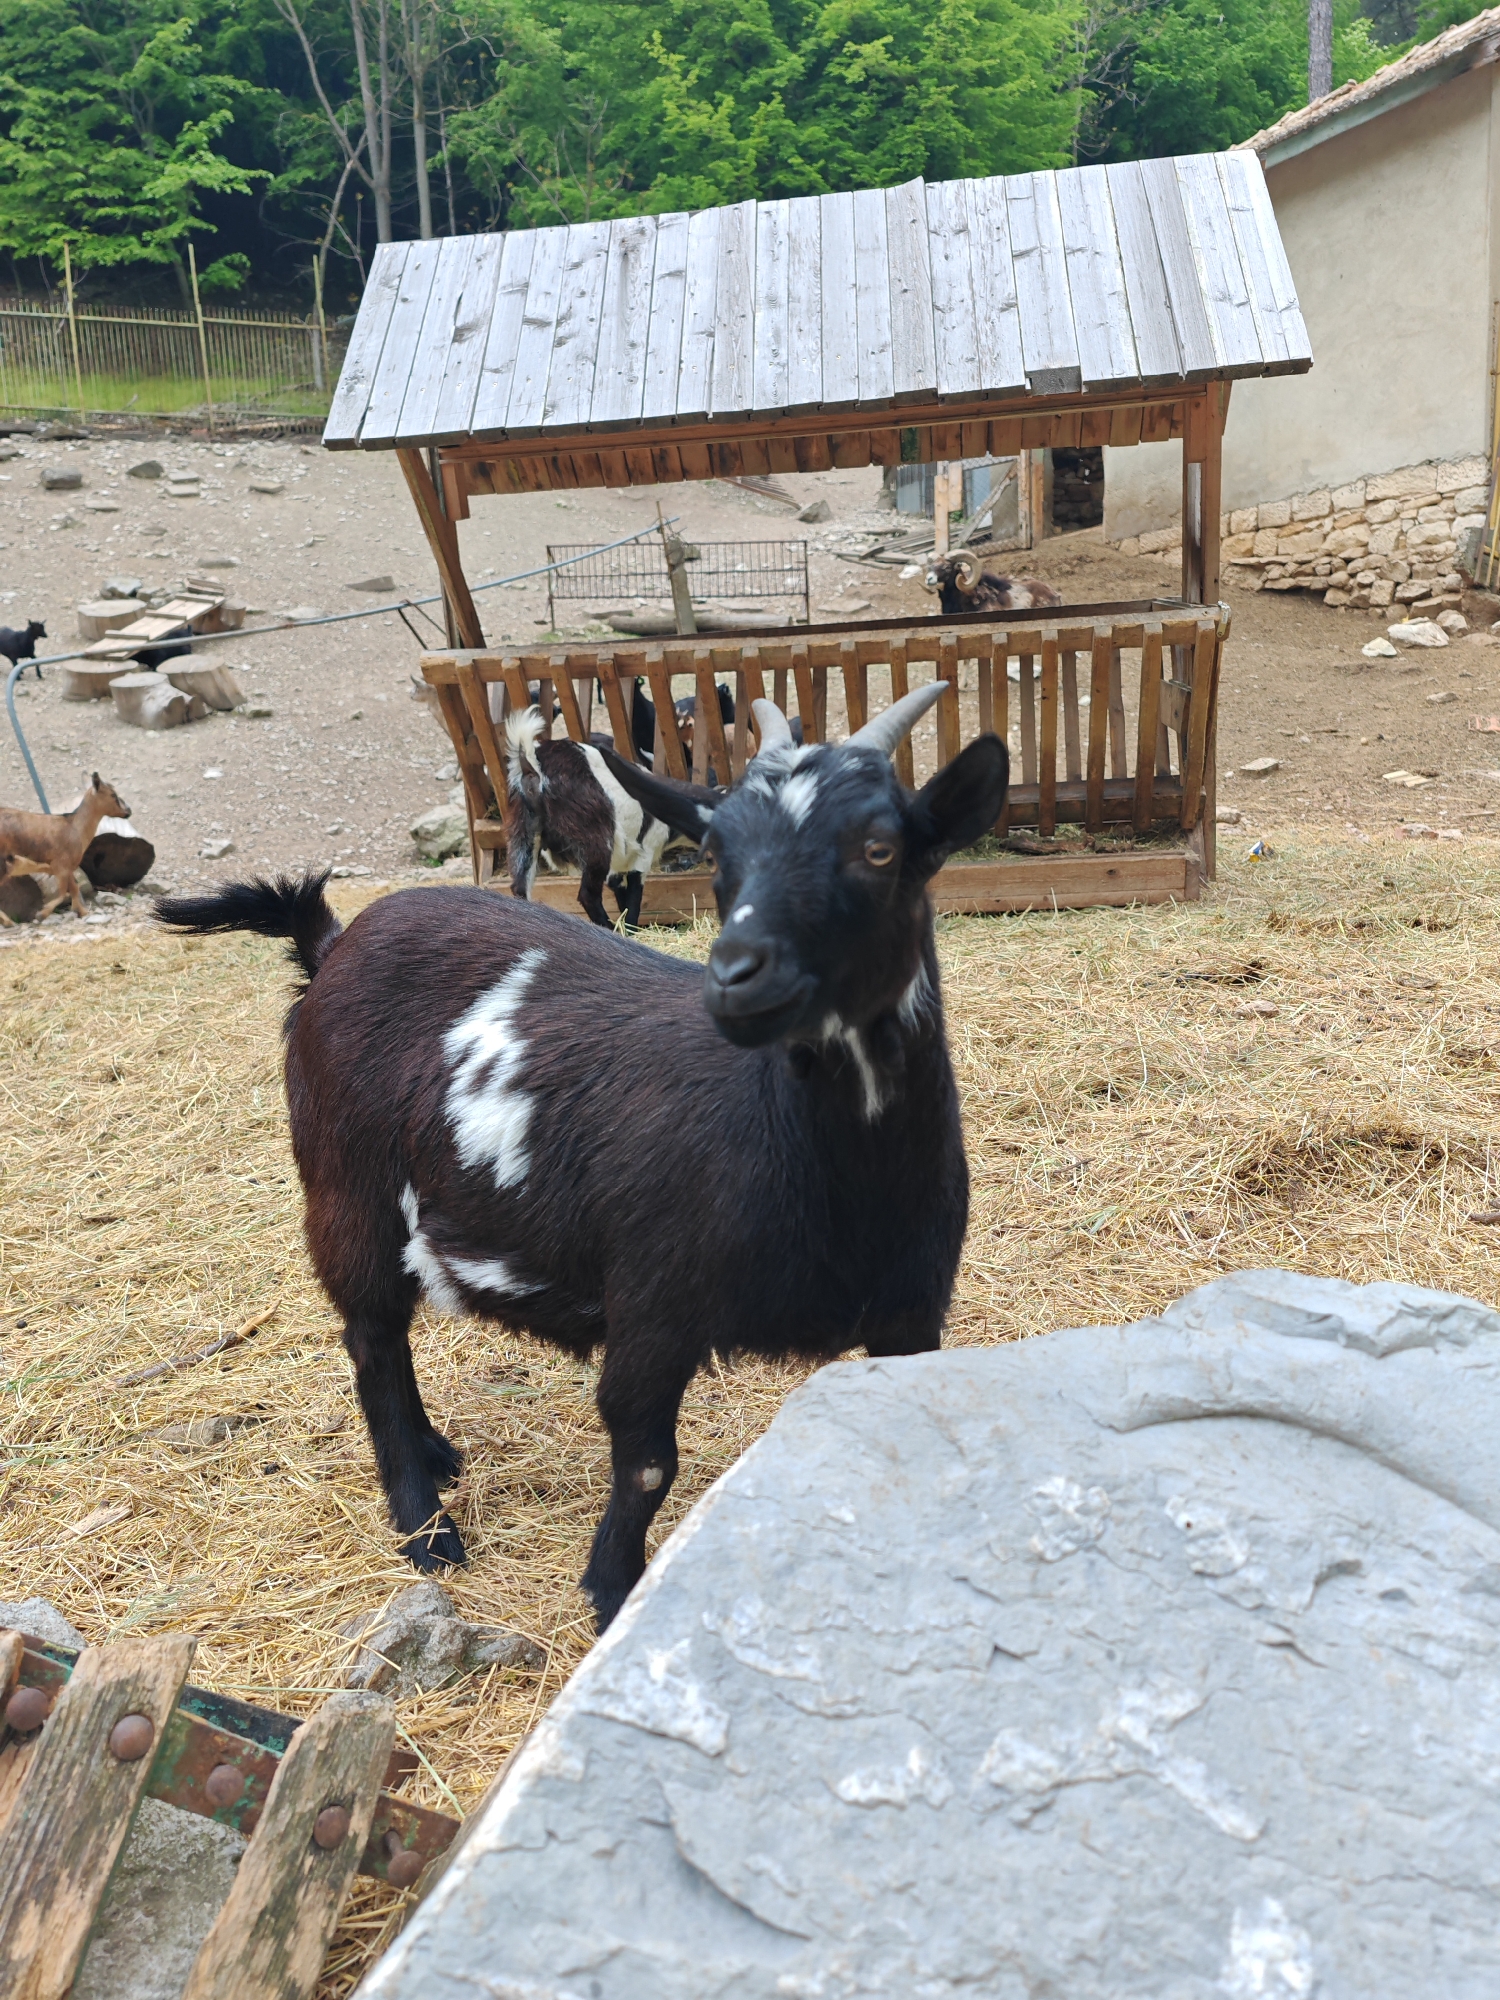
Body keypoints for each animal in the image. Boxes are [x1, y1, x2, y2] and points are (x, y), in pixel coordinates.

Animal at [0, 774, 130, 920]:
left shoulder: (68, 869)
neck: (75, 827)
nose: (128, 811)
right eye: (113, 794)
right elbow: (64, 893)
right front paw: (42, 913)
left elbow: (74, 889)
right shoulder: (60, 866)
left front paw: (83, 912)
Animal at [506, 707, 681, 930]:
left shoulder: (619, 866)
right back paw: (605, 927)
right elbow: (634, 896)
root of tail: (533, 765)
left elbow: (620, 892)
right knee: (587, 894)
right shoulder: (644, 853)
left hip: (523, 831)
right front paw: (630, 929)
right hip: (595, 839)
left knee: (520, 887)